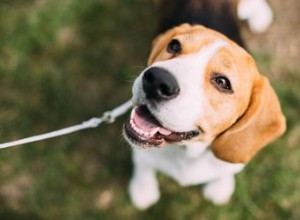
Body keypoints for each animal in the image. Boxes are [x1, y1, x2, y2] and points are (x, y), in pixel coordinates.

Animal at [122, 0, 286, 210]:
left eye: (222, 82)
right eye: (174, 45)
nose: (156, 80)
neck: (187, 153)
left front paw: (220, 187)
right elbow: (143, 165)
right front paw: (143, 189)